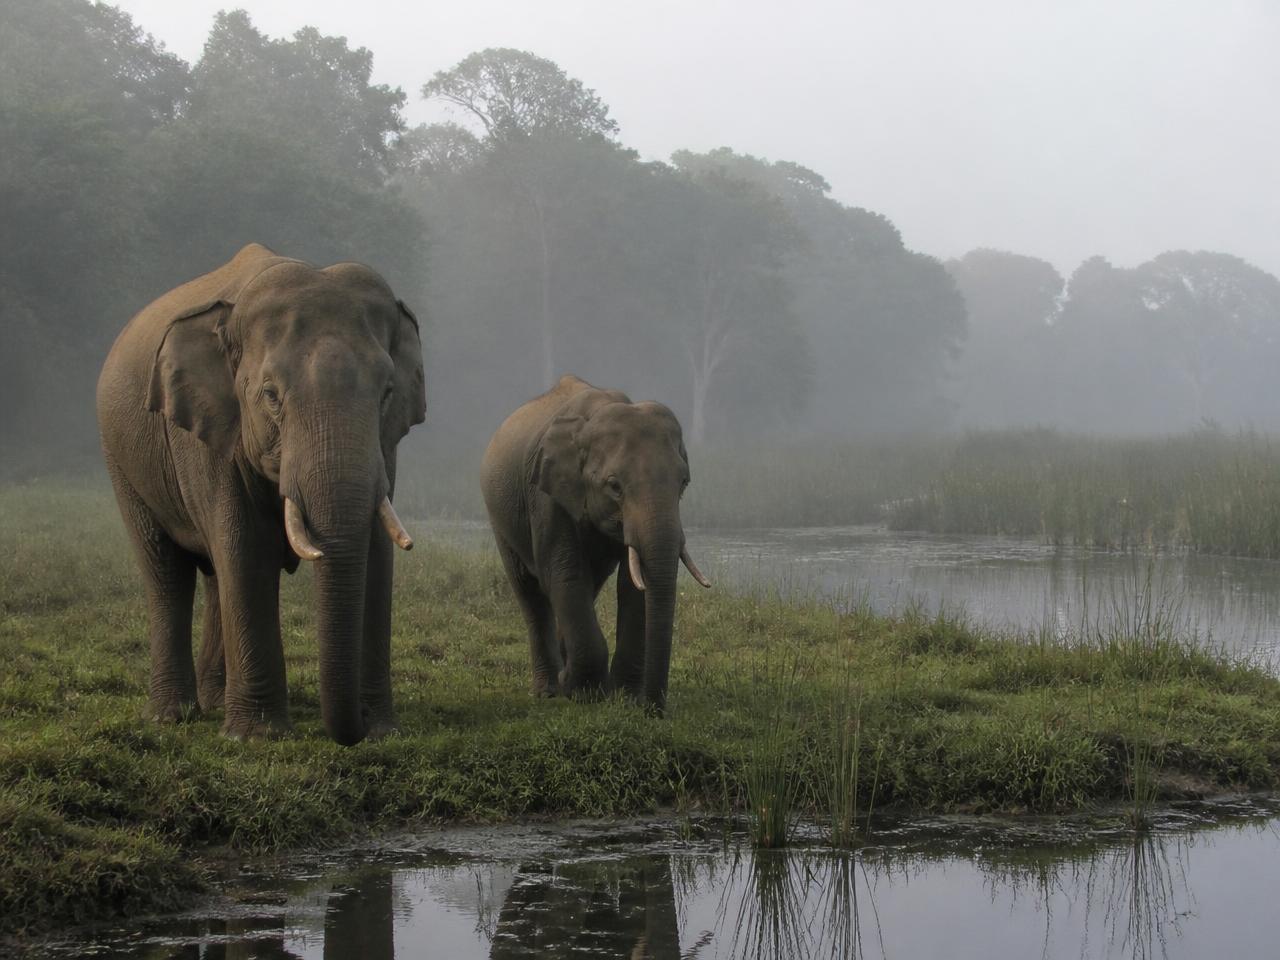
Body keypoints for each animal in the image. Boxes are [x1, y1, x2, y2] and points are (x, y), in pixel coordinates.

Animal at [96, 243, 426, 745]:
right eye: (270, 395)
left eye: (388, 392)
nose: (354, 727)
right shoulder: (209, 432)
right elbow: (245, 547)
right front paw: (257, 737)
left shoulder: (385, 446)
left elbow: (374, 551)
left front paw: (382, 731)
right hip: (124, 462)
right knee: (167, 571)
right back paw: (172, 716)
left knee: (215, 576)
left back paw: (213, 702)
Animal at [479, 375, 710, 711]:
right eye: (614, 486)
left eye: (684, 483)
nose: (654, 711)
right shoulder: (547, 496)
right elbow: (565, 571)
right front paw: (584, 694)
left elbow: (633, 584)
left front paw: (625, 698)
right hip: (500, 519)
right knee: (529, 592)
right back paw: (550, 690)